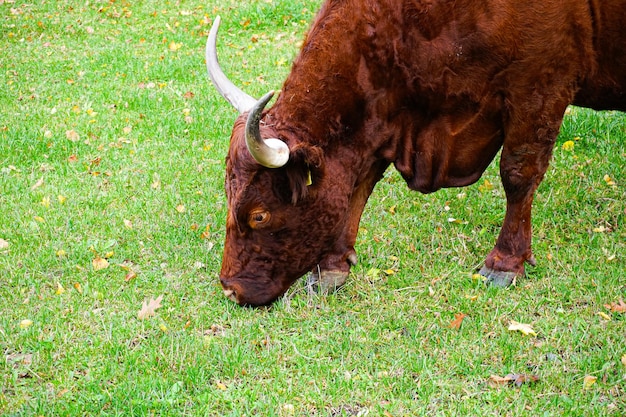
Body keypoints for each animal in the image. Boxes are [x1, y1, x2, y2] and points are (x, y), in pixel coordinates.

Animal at [207, 0, 624, 306]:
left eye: (259, 215)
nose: (230, 288)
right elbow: (361, 182)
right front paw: (332, 267)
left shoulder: (539, 88)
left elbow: (518, 174)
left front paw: (506, 261)